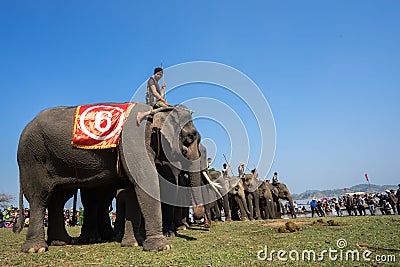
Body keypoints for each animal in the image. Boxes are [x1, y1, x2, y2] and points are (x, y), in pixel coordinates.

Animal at [13, 103, 206, 253]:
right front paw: (161, 247)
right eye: (189, 138)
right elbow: (144, 181)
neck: (155, 112)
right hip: (32, 157)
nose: (198, 220)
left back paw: (62, 242)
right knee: (39, 196)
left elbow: (133, 189)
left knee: (59, 198)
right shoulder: (133, 140)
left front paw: (132, 244)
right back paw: (36, 249)